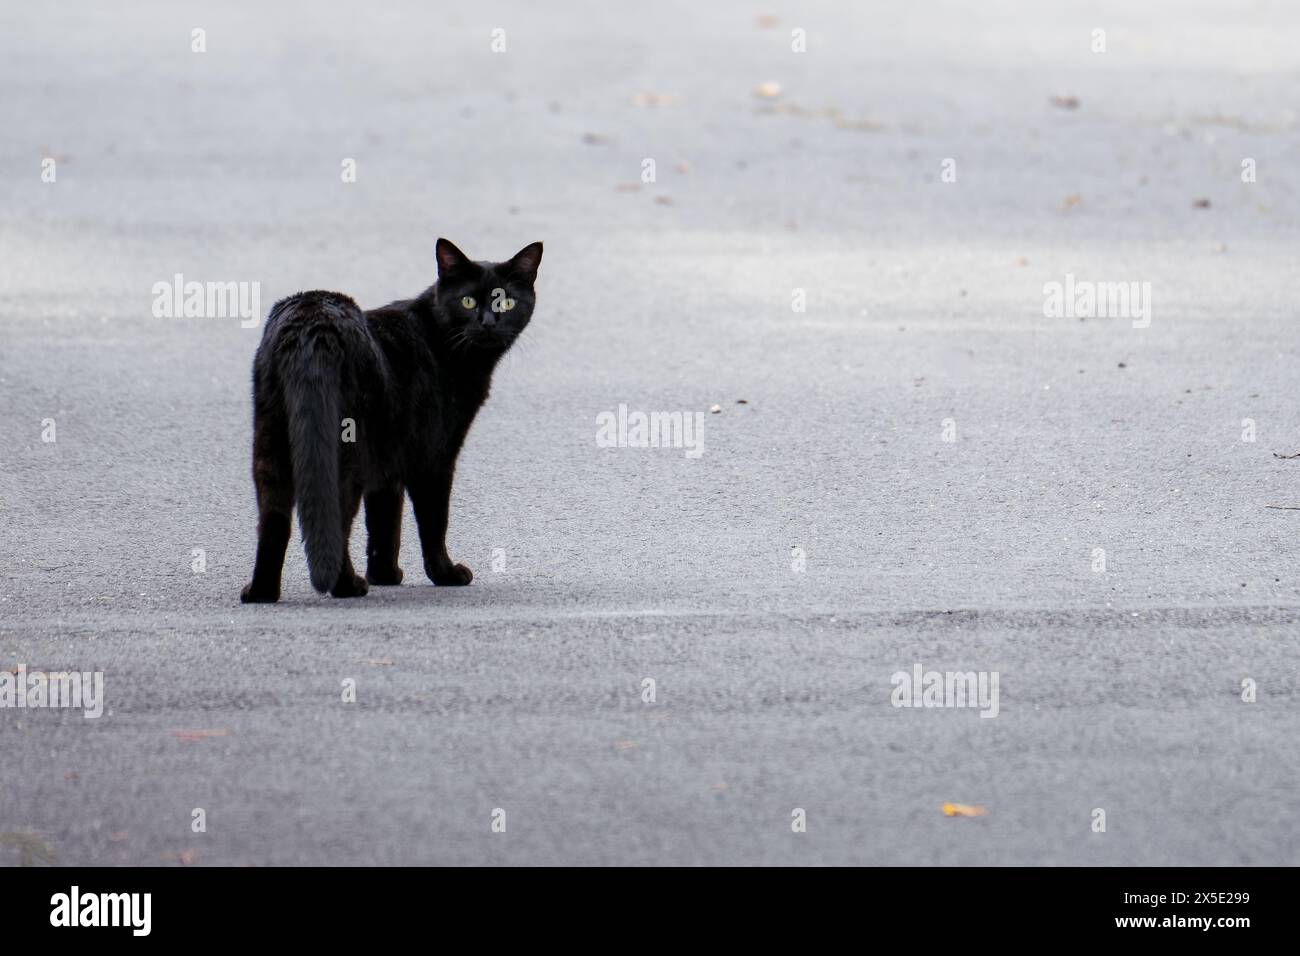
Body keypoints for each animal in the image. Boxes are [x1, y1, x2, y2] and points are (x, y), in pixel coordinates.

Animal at [241, 238, 540, 598]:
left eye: (506, 301)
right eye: (467, 301)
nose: (488, 322)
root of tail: (310, 319)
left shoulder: (388, 462)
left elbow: (385, 520)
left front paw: (384, 573)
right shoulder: (434, 457)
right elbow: (434, 520)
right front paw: (445, 573)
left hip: (269, 441)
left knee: (273, 522)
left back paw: (261, 593)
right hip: (343, 450)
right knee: (335, 517)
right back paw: (346, 586)